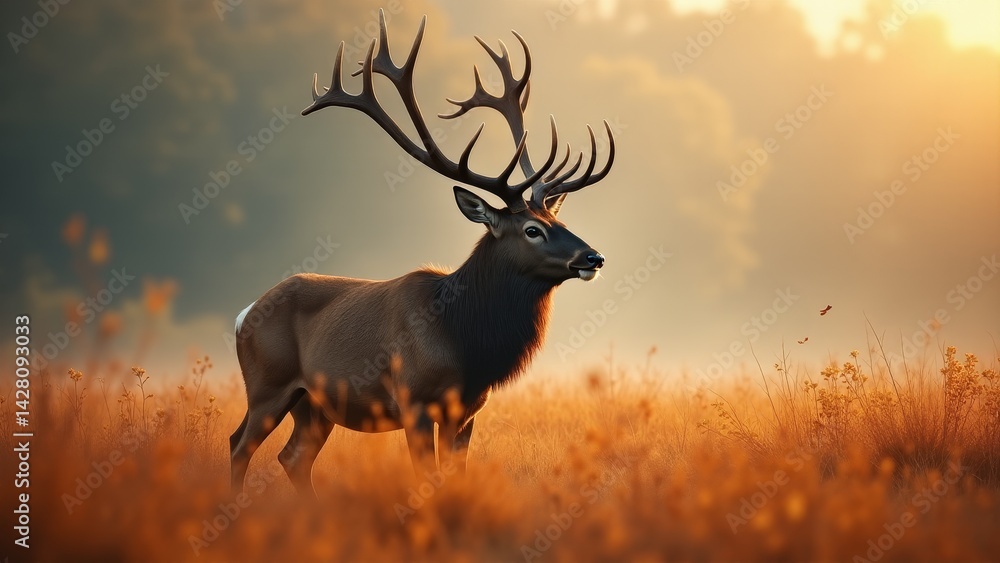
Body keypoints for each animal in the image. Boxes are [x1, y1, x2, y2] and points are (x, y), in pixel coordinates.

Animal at [229, 10, 615, 495]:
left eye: (558, 221)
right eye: (532, 230)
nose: (594, 258)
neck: (468, 344)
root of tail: (243, 314)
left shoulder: (468, 410)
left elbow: (454, 475)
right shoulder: (412, 398)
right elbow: (425, 476)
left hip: (314, 403)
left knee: (293, 455)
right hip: (267, 383)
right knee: (239, 446)